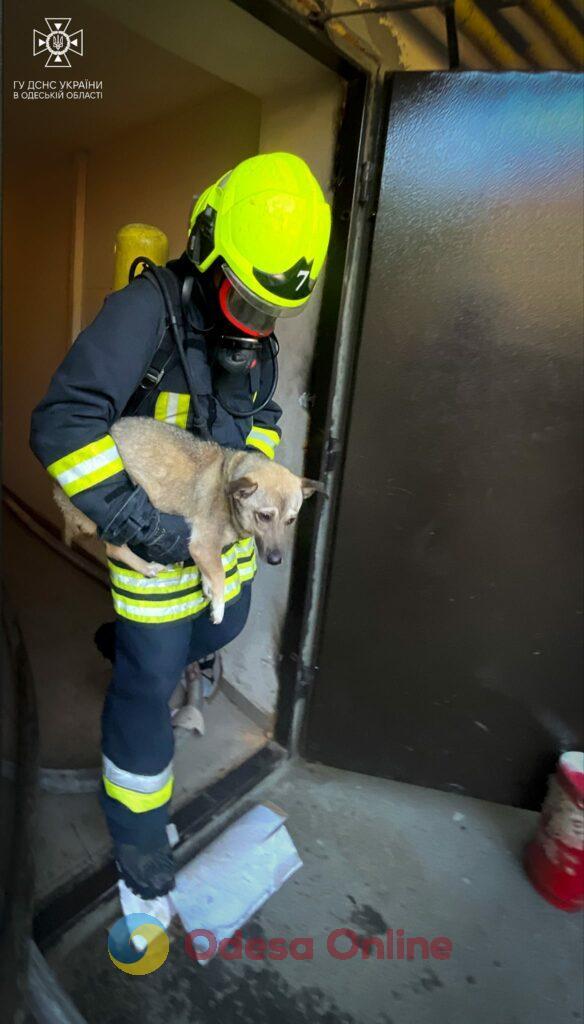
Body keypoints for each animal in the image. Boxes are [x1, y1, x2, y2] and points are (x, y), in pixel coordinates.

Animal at [54, 415, 323, 622]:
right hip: (120, 512)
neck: (230, 481)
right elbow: (219, 576)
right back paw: (146, 567)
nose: (277, 560)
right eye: (264, 516)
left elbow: (211, 572)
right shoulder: (203, 545)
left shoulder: (206, 552)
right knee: (114, 548)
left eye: (291, 521)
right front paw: (218, 607)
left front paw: (208, 588)